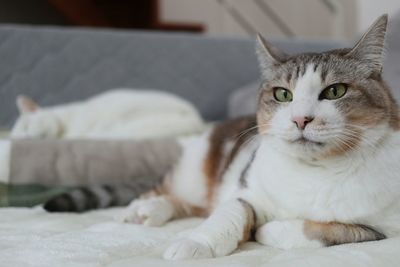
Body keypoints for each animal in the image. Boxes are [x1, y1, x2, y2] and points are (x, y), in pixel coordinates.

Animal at [43, 14, 400, 260]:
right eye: (283, 95)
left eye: (335, 91)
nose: (301, 118)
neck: (316, 172)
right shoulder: (247, 190)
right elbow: (230, 214)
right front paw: (194, 242)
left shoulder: (384, 231)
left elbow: (333, 230)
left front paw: (268, 229)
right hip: (196, 170)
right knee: (175, 194)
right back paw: (144, 208)